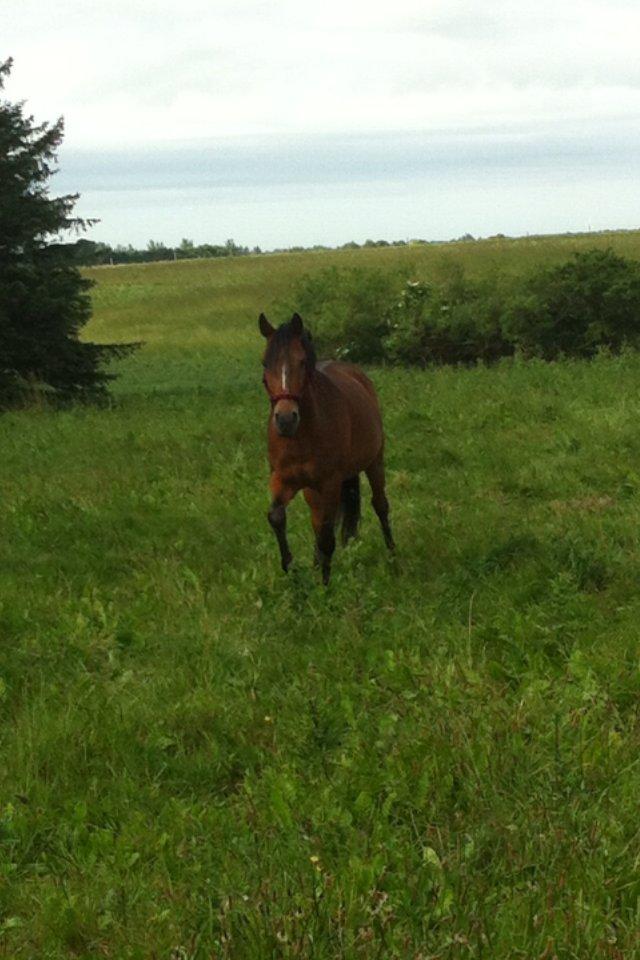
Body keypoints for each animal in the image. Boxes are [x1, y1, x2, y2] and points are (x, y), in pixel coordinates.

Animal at [258, 314, 392, 584]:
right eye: (265, 363)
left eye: (301, 361)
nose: (285, 419)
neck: (301, 435)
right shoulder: (282, 479)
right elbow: (277, 517)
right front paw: (291, 569)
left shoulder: (328, 483)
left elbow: (328, 536)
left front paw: (325, 585)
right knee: (317, 522)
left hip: (374, 463)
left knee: (380, 505)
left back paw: (393, 556)